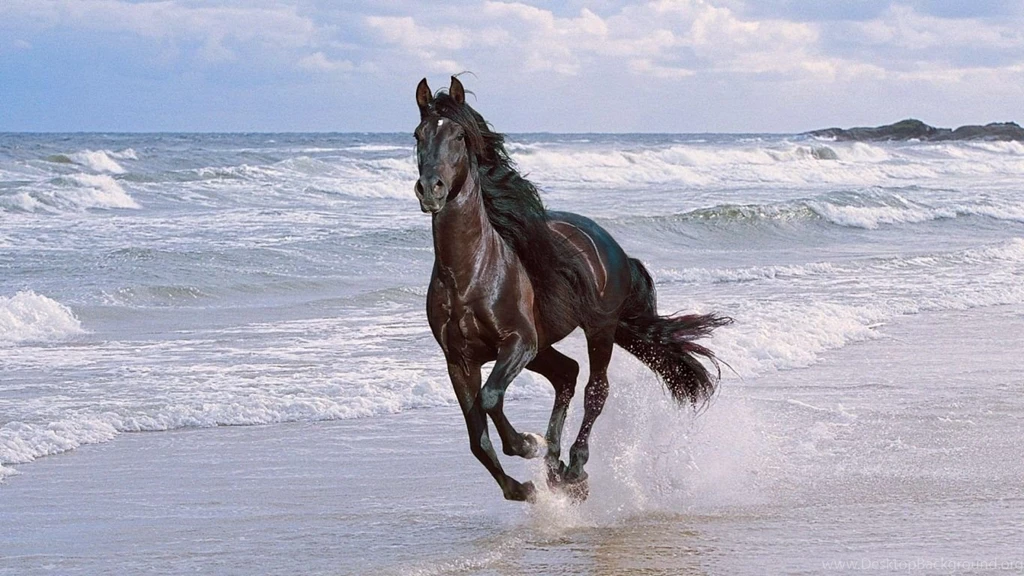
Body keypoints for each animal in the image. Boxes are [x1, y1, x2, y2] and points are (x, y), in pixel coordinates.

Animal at [414, 76, 731, 502]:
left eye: (460, 136)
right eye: (418, 135)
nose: (430, 189)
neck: (471, 274)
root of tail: (612, 246)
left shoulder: (518, 342)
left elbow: (491, 398)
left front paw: (527, 444)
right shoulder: (459, 360)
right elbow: (477, 438)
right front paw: (523, 487)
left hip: (598, 330)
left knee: (595, 389)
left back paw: (574, 467)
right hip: (545, 346)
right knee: (567, 373)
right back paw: (555, 466)